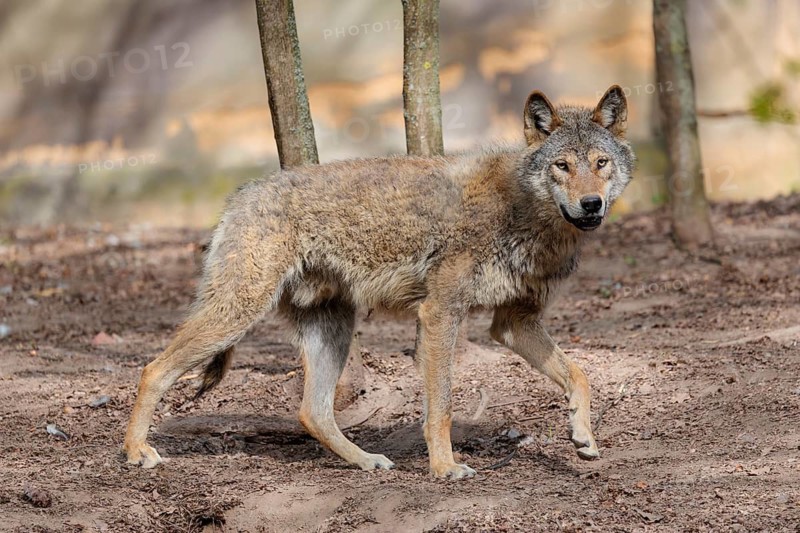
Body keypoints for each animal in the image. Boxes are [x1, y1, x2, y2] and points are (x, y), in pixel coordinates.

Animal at [124, 86, 634, 479]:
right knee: (152, 369)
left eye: (600, 162)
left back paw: (367, 460)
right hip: (237, 315)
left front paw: (583, 436)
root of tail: (241, 195)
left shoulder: (512, 322)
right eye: (562, 166)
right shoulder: (440, 313)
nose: (591, 204)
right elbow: (442, 407)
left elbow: (580, 375)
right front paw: (445, 468)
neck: (524, 213)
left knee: (312, 412)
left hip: (331, 328)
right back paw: (136, 452)